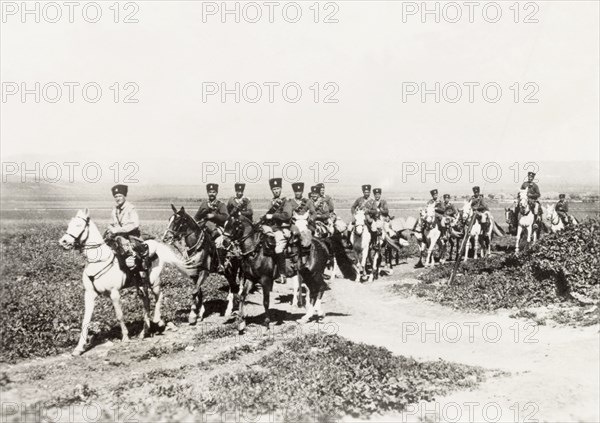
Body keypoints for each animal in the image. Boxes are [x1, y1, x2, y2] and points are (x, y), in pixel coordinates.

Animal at [58, 210, 190, 356]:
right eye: (70, 224)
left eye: (78, 225)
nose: (63, 241)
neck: (98, 261)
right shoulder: (89, 294)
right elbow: (85, 320)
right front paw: (79, 347)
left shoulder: (114, 293)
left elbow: (119, 315)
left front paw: (126, 337)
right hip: (142, 285)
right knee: (146, 302)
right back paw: (144, 332)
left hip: (154, 282)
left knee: (159, 297)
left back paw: (158, 322)